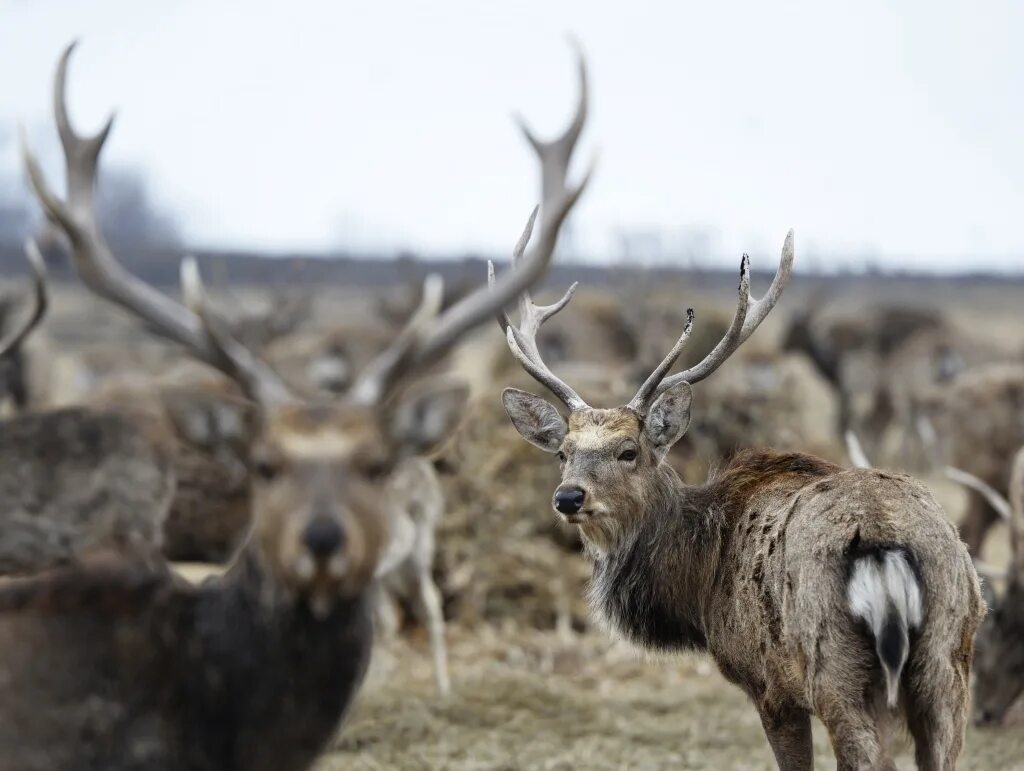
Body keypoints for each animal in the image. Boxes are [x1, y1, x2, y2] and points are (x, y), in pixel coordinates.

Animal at [495, 215, 983, 765]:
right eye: (563, 452)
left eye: (629, 451)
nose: (569, 498)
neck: (698, 588)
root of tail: (888, 545)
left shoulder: (768, 683)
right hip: (949, 663)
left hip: (836, 670)